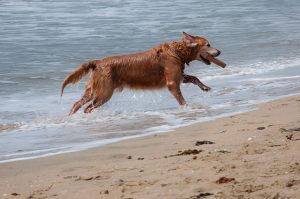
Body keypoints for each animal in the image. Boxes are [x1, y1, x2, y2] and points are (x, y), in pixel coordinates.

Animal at [61, 31, 225, 114]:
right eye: (208, 44)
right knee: (88, 107)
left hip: (93, 90)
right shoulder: (172, 82)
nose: (219, 51)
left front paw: (205, 87)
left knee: (77, 104)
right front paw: (187, 108)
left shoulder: (178, 75)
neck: (176, 53)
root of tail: (97, 62)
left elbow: (193, 78)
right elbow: (181, 98)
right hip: (104, 93)